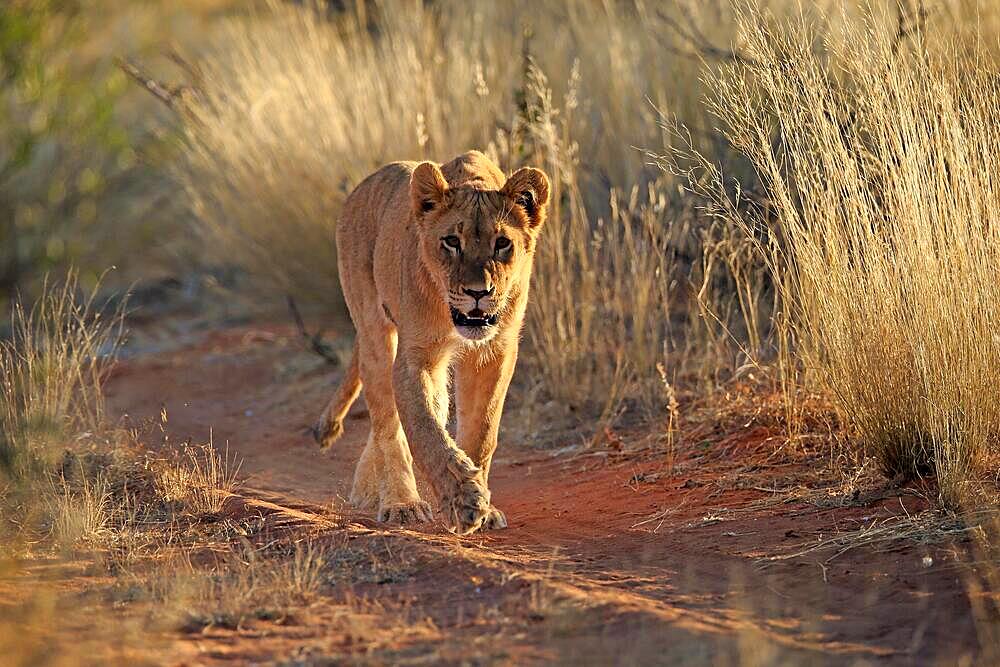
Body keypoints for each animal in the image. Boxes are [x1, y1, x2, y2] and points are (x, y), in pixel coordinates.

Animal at [312, 149, 552, 536]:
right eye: (452, 242)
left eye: (502, 244)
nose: (478, 293)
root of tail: (360, 188)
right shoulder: (416, 356)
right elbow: (424, 430)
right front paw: (463, 501)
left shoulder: (494, 354)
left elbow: (481, 431)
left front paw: (483, 505)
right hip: (374, 332)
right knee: (387, 420)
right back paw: (400, 503)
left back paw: (367, 489)